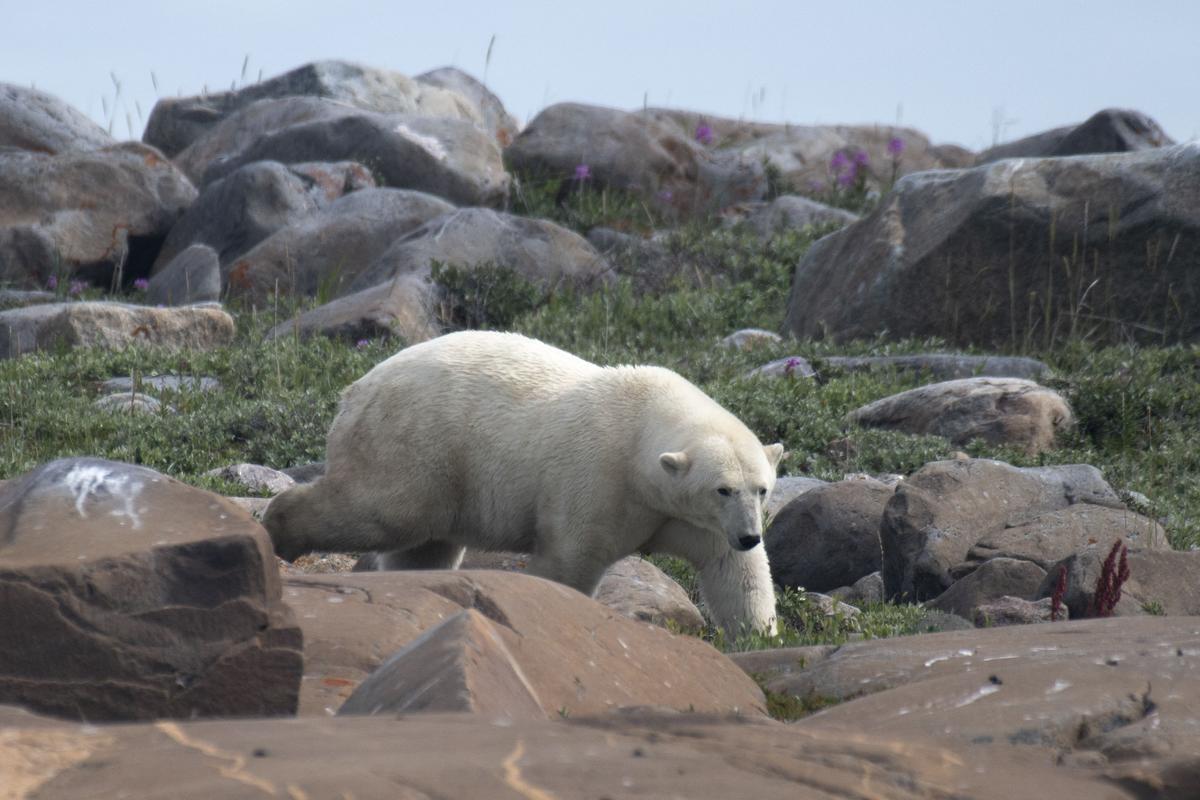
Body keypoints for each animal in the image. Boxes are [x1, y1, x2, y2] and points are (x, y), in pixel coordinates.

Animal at [266, 328, 782, 633]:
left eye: (762, 489)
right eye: (722, 488)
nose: (750, 535)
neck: (640, 427)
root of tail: (355, 389)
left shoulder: (686, 517)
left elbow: (733, 571)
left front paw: (757, 635)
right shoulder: (598, 477)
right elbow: (569, 560)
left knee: (425, 546)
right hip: (415, 443)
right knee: (382, 512)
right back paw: (279, 530)